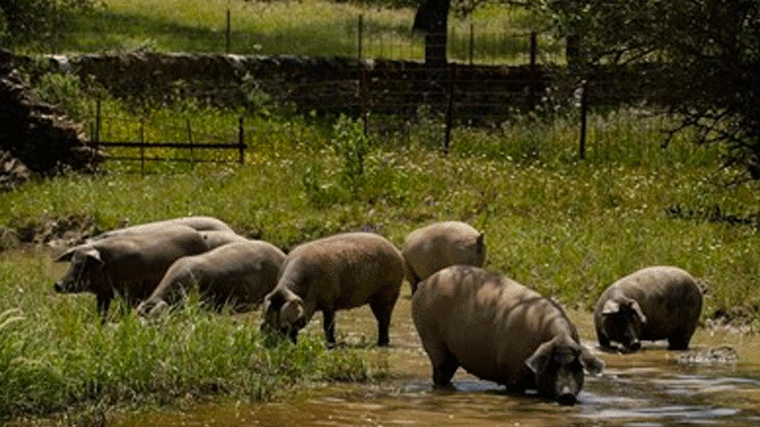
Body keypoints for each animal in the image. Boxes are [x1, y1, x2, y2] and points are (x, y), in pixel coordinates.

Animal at [53, 227, 208, 320]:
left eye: (83, 265)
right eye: (72, 262)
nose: (57, 284)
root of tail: (200, 237)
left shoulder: (129, 295)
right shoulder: (103, 295)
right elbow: (101, 313)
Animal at [260, 234, 404, 348]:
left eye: (285, 327)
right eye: (268, 324)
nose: (275, 345)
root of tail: (397, 252)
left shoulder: (329, 301)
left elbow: (328, 325)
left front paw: (330, 345)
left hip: (388, 293)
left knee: (384, 320)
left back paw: (382, 344)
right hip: (376, 299)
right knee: (381, 319)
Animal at [412, 266, 604, 406]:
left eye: (576, 366)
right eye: (553, 365)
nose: (567, 395)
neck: (559, 336)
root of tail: (424, 284)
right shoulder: (512, 376)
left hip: (450, 354)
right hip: (431, 339)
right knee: (439, 373)